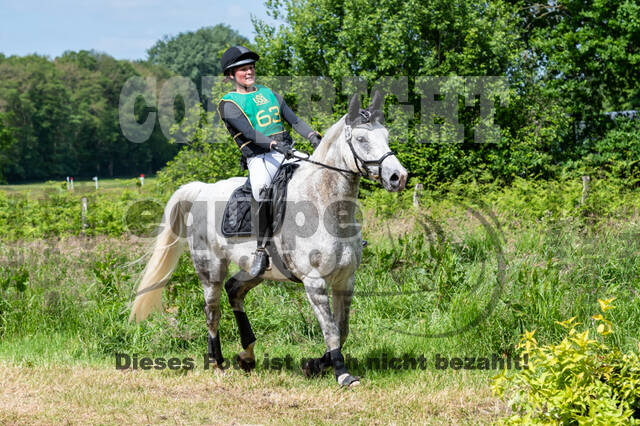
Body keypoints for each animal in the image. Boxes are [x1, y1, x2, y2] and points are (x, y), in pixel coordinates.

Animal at [129, 91, 408, 387]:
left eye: (386, 136)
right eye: (362, 139)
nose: (398, 177)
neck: (324, 205)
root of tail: (203, 189)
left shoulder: (345, 279)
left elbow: (342, 329)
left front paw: (315, 365)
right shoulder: (315, 282)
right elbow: (331, 330)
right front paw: (342, 374)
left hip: (257, 270)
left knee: (234, 289)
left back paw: (247, 355)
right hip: (210, 268)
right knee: (212, 310)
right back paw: (217, 362)